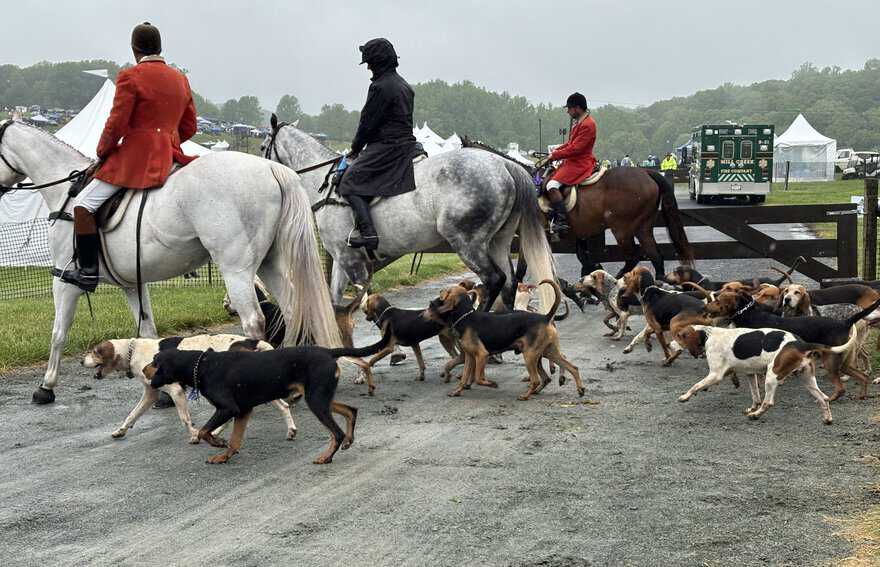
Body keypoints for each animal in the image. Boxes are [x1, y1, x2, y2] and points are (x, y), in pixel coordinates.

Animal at [0, 120, 340, 404]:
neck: (66, 195)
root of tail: (272, 170)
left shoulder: (65, 279)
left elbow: (58, 333)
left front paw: (46, 387)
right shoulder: (131, 284)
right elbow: (148, 331)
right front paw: (160, 389)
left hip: (236, 267)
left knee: (254, 322)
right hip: (270, 262)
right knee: (294, 309)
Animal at [262, 117, 556, 312]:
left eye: (265, 145)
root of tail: (504, 166)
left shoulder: (351, 260)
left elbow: (363, 302)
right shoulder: (342, 257)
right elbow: (336, 304)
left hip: (467, 242)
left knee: (494, 279)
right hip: (498, 241)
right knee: (509, 284)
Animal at [552, 166, 692, 280]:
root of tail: (645, 172)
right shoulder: (581, 233)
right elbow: (582, 256)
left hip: (621, 230)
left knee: (633, 257)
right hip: (643, 228)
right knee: (655, 255)